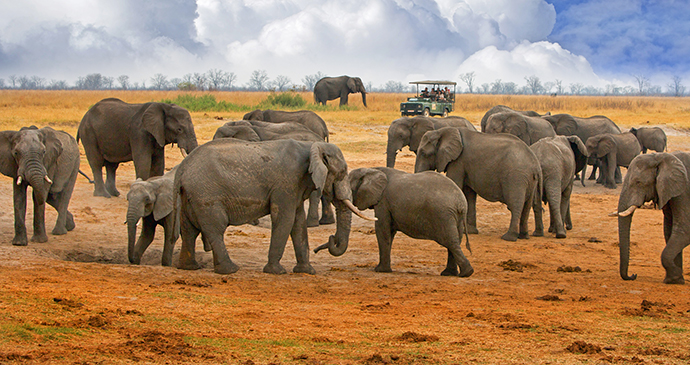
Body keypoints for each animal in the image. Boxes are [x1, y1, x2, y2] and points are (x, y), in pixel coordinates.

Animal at [175, 138, 374, 274]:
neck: (312, 146)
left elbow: (298, 222)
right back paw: (230, 270)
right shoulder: (286, 183)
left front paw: (306, 271)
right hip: (206, 195)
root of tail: (182, 169)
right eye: (341, 173)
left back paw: (189, 267)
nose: (330, 238)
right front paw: (276, 272)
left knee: (189, 230)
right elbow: (285, 219)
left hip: (189, 197)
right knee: (216, 228)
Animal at [314, 167, 470, 276]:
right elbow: (389, 232)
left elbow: (382, 230)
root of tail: (461, 203)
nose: (315, 250)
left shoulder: (383, 202)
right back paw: (450, 273)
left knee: (451, 242)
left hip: (443, 215)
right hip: (454, 218)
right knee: (455, 241)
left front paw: (380, 270)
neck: (371, 170)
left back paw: (466, 273)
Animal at [412, 126, 540, 240]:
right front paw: (470, 231)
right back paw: (523, 236)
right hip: (530, 180)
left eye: (423, 153)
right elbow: (469, 195)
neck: (442, 131)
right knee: (527, 206)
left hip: (516, 177)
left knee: (516, 205)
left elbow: (456, 184)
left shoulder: (458, 161)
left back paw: (509, 237)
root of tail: (535, 163)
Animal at [612, 151, 688, 284]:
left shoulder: (685, 191)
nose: (633, 275)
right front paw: (675, 280)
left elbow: (683, 231)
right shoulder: (668, 191)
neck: (660, 157)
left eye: (638, 182)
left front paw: (674, 276)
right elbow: (669, 231)